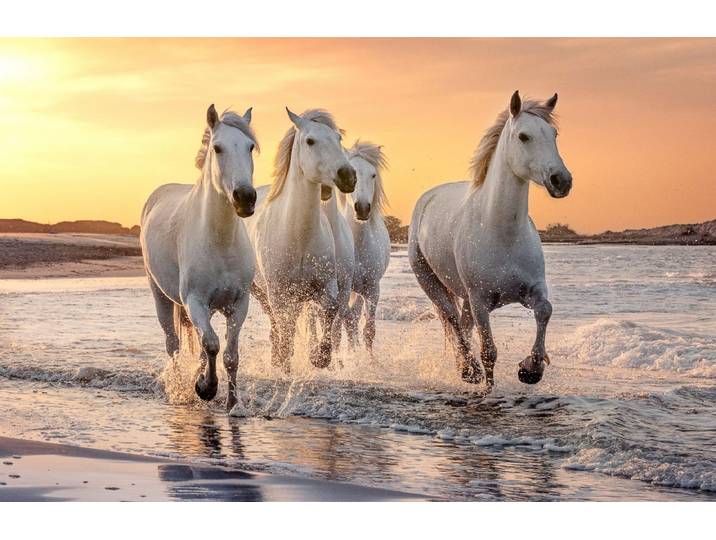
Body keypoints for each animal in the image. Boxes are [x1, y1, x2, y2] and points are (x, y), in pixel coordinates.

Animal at [140, 105, 258, 411]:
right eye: (217, 148)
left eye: (250, 147)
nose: (245, 197)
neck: (220, 241)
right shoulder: (194, 301)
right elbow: (213, 344)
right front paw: (206, 388)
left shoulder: (238, 304)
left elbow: (229, 354)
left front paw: (232, 404)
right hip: (161, 295)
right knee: (173, 344)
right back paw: (180, 387)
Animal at [245, 108, 356, 373]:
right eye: (310, 141)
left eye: (338, 138)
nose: (348, 176)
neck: (299, 236)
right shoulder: (279, 293)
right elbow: (285, 328)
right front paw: (285, 362)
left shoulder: (327, 287)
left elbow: (329, 313)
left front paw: (319, 357)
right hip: (260, 291)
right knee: (277, 323)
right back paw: (277, 357)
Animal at [408, 91, 572, 389]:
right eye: (523, 136)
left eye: (553, 134)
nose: (561, 180)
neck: (502, 233)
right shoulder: (481, 301)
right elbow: (489, 352)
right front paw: (489, 387)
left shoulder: (532, 290)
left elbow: (545, 310)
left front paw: (531, 369)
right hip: (432, 283)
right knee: (453, 320)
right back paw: (469, 370)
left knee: (463, 324)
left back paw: (464, 368)